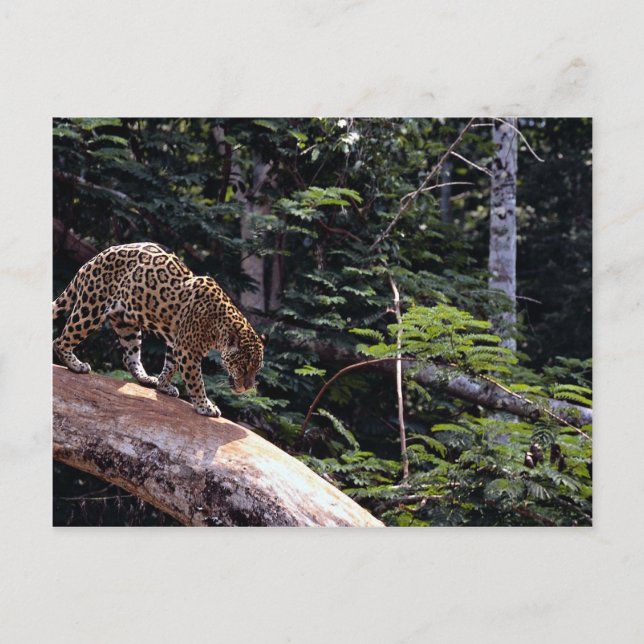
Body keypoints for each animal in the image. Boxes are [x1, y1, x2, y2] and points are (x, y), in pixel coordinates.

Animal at [52, 242, 265, 417]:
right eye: (243, 367)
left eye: (257, 369)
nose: (247, 388)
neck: (219, 326)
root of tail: (92, 260)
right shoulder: (187, 350)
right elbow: (196, 381)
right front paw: (205, 406)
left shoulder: (176, 343)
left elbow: (170, 365)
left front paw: (164, 385)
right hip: (91, 309)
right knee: (61, 340)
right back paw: (76, 365)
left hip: (126, 323)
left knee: (129, 356)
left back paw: (147, 378)